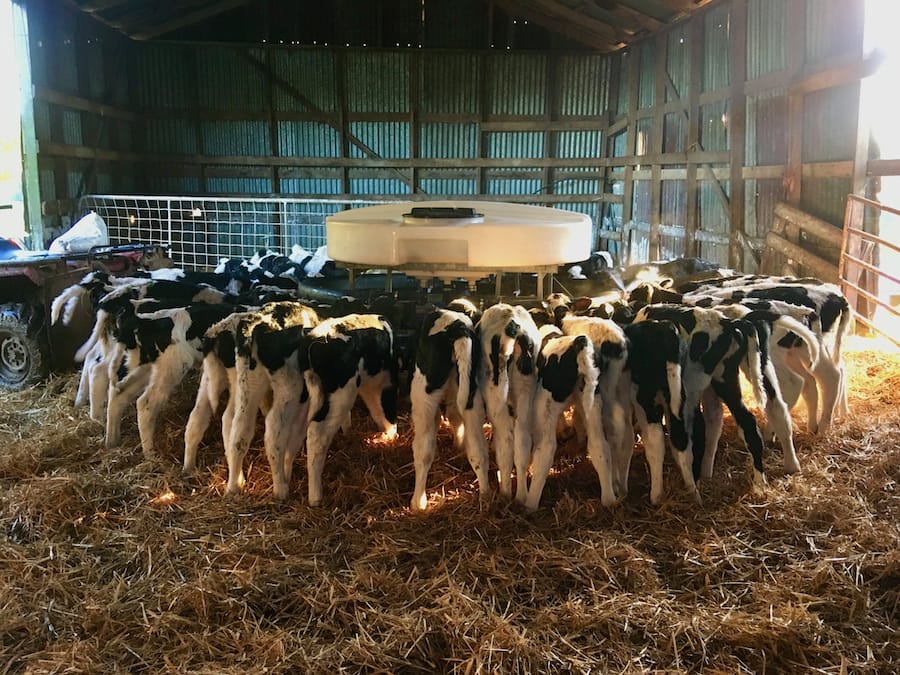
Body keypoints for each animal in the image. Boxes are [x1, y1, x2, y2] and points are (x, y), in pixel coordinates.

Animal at [412, 308, 488, 512]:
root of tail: (456, 326)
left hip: (423, 395)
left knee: (423, 450)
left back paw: (418, 503)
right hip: (472, 395)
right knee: (478, 450)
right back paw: (486, 496)